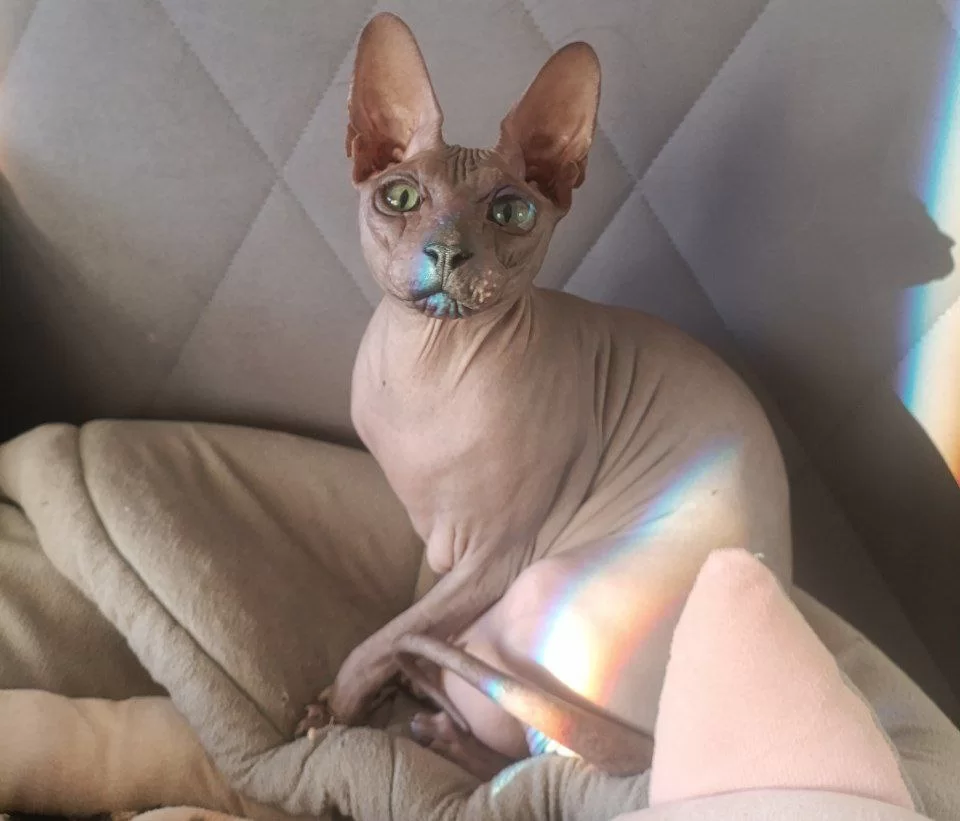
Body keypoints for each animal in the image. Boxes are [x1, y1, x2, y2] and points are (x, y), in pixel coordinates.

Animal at [298, 12, 792, 780]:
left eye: (511, 211)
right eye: (400, 197)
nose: (447, 251)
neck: (427, 370)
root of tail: (657, 748)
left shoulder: (495, 558)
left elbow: (386, 636)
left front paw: (341, 703)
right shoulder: (438, 540)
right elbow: (413, 604)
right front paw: (378, 682)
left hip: (535, 590)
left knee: (509, 745)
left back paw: (434, 717)